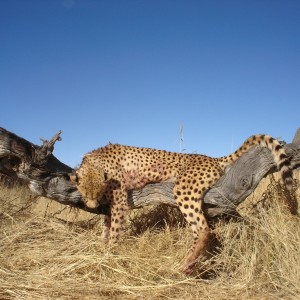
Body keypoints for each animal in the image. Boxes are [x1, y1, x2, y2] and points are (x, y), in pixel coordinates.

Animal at [71, 135, 292, 274]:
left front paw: (109, 254)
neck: (94, 162)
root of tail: (211, 158)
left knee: (203, 228)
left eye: (96, 193)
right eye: (86, 193)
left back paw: (188, 262)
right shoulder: (110, 201)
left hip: (184, 188)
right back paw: (192, 263)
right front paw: (102, 245)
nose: (92, 205)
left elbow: (115, 228)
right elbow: (106, 224)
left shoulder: (119, 198)